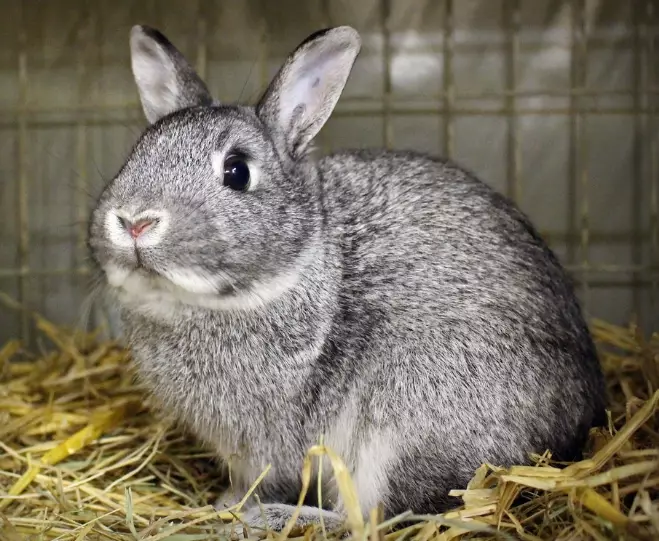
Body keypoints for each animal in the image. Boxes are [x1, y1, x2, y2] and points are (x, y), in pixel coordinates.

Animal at [87, 23, 608, 535]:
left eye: (237, 171)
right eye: (135, 153)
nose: (135, 221)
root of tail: (576, 431)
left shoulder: (271, 444)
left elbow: (271, 480)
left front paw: (233, 508)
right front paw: (224, 503)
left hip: (407, 418)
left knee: (376, 517)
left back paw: (271, 519)